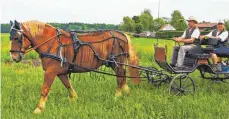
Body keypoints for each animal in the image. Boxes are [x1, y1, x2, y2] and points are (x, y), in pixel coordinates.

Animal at [9, 20, 140, 114]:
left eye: (17, 38)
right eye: (10, 38)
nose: (14, 57)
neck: (52, 43)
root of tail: (122, 34)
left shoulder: (51, 71)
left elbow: (45, 89)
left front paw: (39, 109)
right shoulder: (60, 72)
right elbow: (68, 85)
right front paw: (75, 99)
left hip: (117, 63)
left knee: (120, 78)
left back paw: (117, 96)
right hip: (115, 64)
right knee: (122, 77)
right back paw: (127, 93)